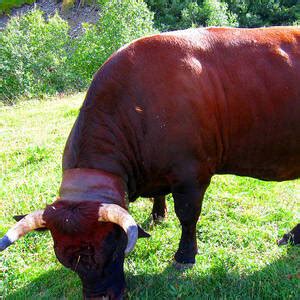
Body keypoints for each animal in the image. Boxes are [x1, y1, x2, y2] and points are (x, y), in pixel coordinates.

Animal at [0, 27, 300, 298]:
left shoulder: (192, 176)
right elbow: (160, 199)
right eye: (63, 259)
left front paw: (184, 256)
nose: (100, 297)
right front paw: (158, 214)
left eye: (113, 249)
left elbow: (188, 216)